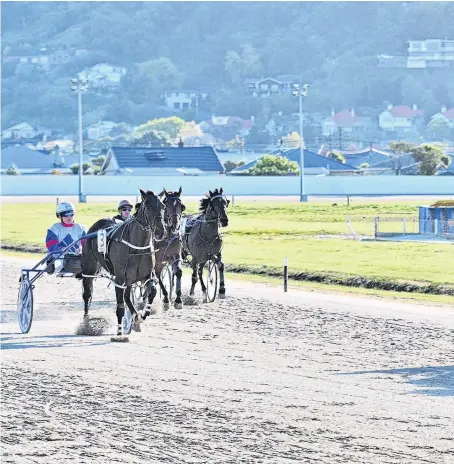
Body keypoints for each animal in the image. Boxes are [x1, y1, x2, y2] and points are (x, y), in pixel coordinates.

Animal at [80, 188, 166, 338]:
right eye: (148, 206)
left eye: (163, 206)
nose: (160, 231)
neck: (137, 246)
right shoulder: (119, 279)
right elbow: (119, 306)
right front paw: (120, 332)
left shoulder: (146, 275)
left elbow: (152, 292)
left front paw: (142, 315)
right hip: (89, 270)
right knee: (87, 294)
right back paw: (86, 323)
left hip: (129, 279)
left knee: (127, 297)